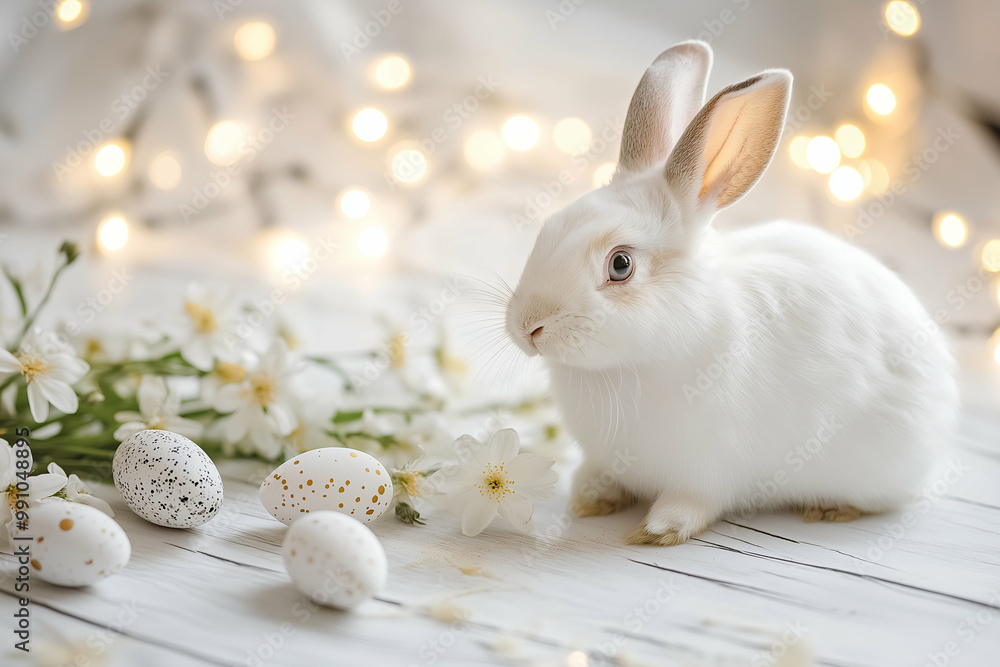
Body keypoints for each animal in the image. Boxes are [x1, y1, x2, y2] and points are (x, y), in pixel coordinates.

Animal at [504, 41, 958, 546]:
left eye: (620, 265)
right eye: (549, 227)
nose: (527, 327)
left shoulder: (710, 471)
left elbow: (692, 504)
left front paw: (657, 531)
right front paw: (589, 500)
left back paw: (830, 508)